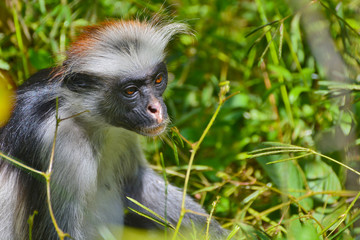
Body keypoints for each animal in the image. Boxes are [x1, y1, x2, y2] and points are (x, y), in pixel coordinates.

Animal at [0, 19, 228, 239]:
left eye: (158, 80)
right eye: (130, 91)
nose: (156, 109)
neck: (86, 117)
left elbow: (136, 184)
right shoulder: (59, 145)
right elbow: (58, 233)